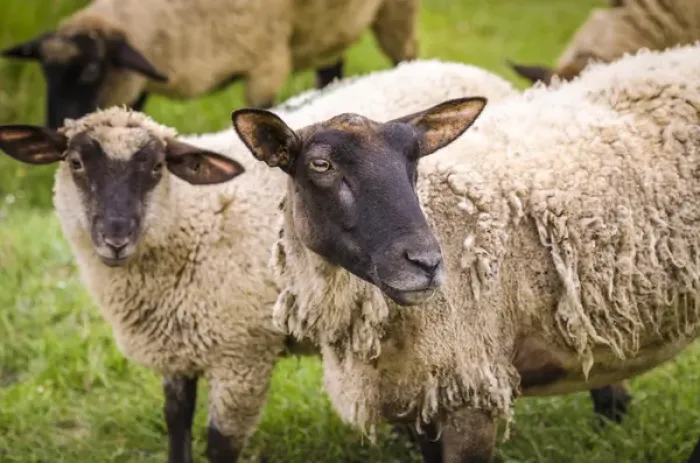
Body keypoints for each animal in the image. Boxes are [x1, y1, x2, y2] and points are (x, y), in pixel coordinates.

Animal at [0, 0, 420, 129]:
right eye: (45, 73)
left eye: (90, 72)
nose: (57, 128)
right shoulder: (139, 83)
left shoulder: (266, 62)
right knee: (330, 71)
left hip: (396, 13)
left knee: (407, 56)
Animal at [0, 58, 521, 463]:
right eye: (75, 164)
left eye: (156, 167)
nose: (114, 239)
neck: (190, 218)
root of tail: (476, 70)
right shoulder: (176, 346)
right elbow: (175, 421)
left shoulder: (241, 356)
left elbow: (219, 444)